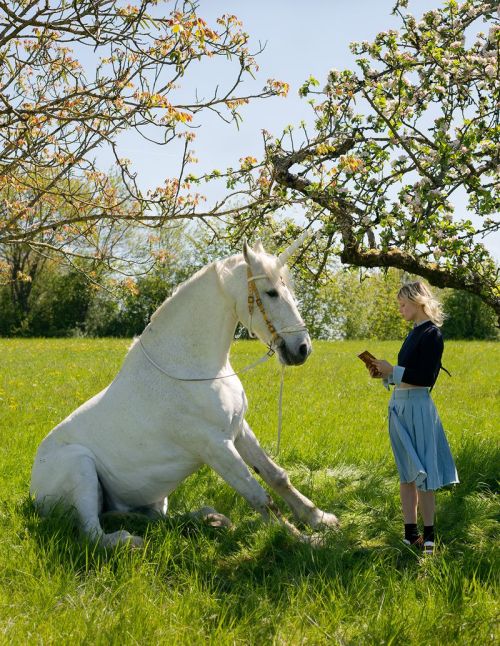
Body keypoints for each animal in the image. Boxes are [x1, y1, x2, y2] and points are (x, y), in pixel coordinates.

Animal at [30, 238, 336, 548]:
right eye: (271, 293)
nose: (302, 348)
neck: (190, 365)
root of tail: (33, 491)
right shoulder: (215, 447)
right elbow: (259, 496)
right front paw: (304, 539)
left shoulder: (238, 430)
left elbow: (277, 476)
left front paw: (320, 519)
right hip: (80, 466)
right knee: (94, 533)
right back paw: (132, 542)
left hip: (153, 501)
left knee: (157, 519)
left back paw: (210, 518)